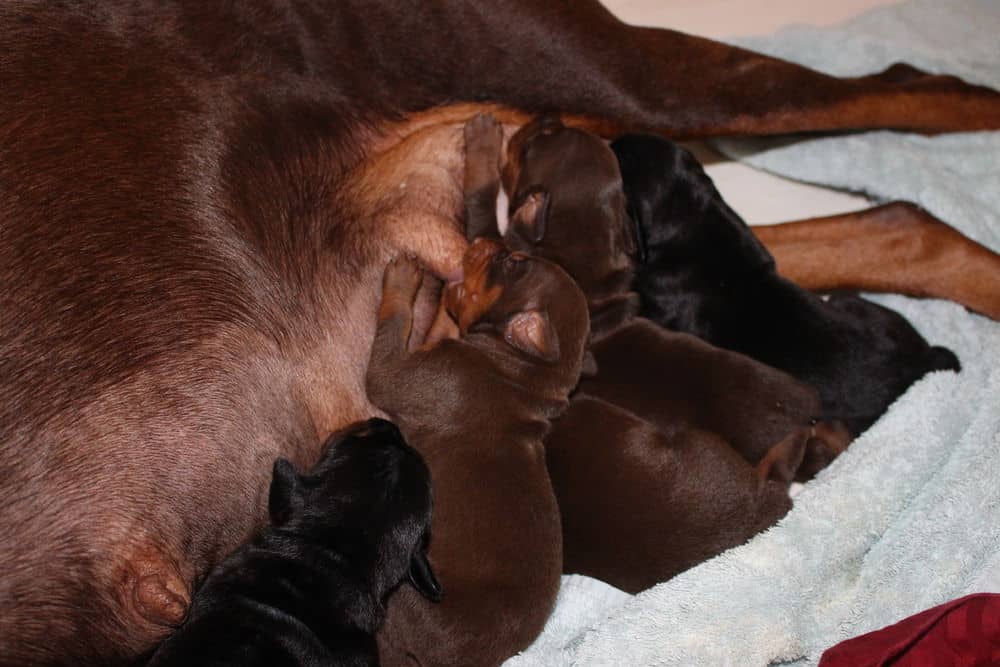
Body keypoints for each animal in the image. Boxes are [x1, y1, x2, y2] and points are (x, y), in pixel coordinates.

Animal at [366, 241, 588, 667]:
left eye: (513, 262)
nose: (482, 241)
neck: (523, 371)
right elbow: (439, 326)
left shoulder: (397, 373)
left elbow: (396, 318)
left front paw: (402, 279)